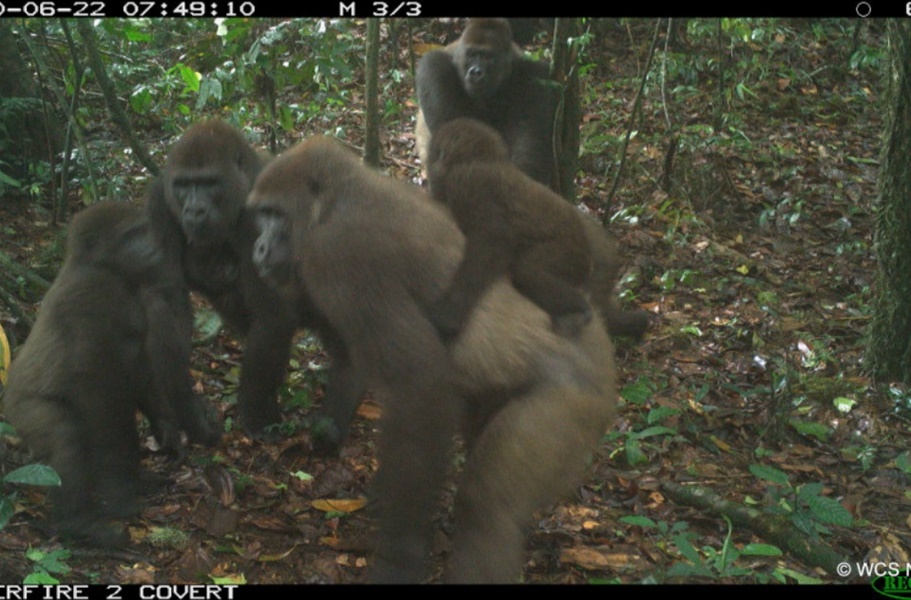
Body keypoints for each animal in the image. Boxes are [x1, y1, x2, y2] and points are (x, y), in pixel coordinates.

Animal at [416, 18, 560, 188]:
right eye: (472, 55)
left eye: (486, 57)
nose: (475, 72)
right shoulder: (432, 66)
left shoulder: (535, 74)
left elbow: (530, 142)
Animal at [430, 118, 596, 342]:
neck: (480, 158)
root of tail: (588, 259)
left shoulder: (469, 184)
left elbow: (495, 241)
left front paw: (451, 312)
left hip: (571, 254)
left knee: (529, 271)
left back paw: (581, 309)